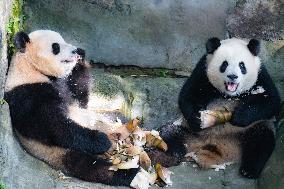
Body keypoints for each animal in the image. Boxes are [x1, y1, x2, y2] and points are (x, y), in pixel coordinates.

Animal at [3, 30, 145, 187]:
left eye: (64, 40)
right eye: (56, 47)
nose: (75, 50)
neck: (31, 68)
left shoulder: (68, 90)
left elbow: (80, 99)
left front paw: (81, 58)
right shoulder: (27, 94)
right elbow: (54, 126)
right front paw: (101, 140)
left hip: (104, 118)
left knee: (117, 118)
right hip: (60, 152)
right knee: (90, 166)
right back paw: (133, 174)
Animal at [152, 36, 280, 179]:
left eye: (242, 65)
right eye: (224, 64)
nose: (232, 76)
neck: (229, 94)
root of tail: (216, 147)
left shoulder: (261, 75)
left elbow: (271, 101)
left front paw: (239, 116)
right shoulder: (202, 71)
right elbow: (188, 95)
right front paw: (198, 120)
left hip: (250, 129)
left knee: (262, 141)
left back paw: (249, 170)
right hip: (187, 130)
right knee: (167, 136)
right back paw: (159, 157)